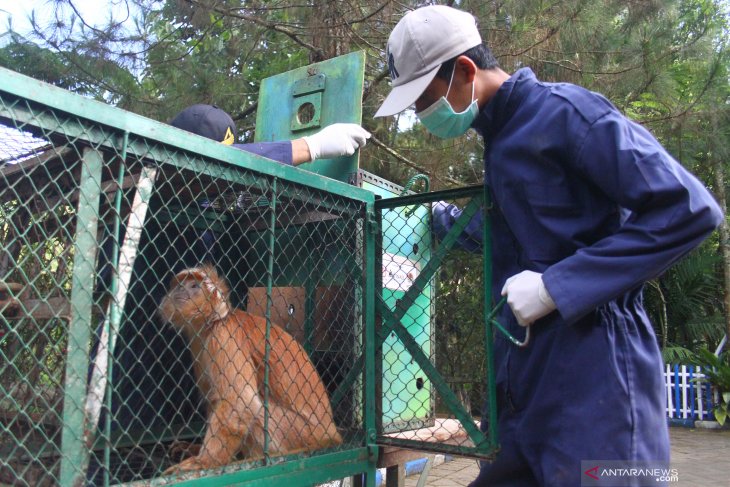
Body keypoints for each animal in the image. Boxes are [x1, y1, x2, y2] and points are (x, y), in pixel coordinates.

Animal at [158, 264, 340, 474]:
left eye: (194, 286)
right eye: (180, 285)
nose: (181, 290)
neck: (214, 321)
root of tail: (330, 434)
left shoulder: (224, 336)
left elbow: (241, 400)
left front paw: (203, 462)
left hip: (298, 433)